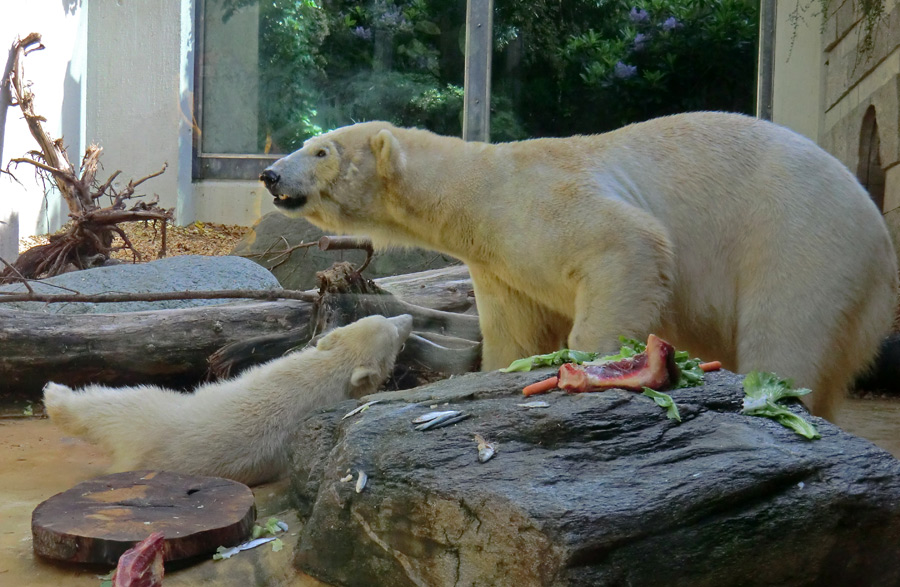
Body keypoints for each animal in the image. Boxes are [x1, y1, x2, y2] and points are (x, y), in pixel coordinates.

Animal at [256, 112, 896, 420]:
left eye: (320, 150)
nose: (270, 174)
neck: (478, 187)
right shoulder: (499, 262)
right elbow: (513, 328)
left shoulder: (539, 204)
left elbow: (629, 244)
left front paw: (591, 365)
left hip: (799, 237)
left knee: (785, 332)